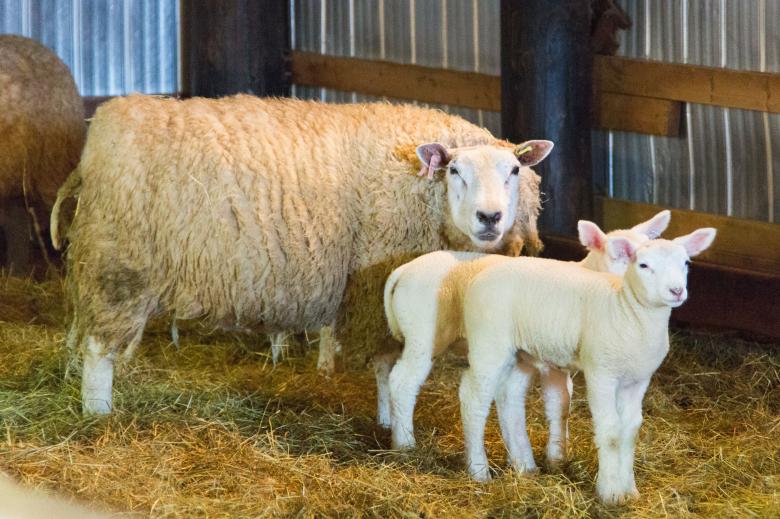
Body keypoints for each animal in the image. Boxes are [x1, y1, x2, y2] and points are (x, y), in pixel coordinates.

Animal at [53, 94, 553, 414]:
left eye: (514, 170)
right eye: (454, 170)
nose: (490, 217)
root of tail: (98, 134)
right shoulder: (375, 288)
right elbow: (387, 369)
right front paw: (390, 424)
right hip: (118, 266)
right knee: (98, 351)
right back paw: (98, 414)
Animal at [378, 210, 671, 458]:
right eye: (620, 255)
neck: (589, 275)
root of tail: (403, 271)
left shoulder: (559, 362)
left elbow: (562, 404)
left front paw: (558, 453)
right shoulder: (550, 358)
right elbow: (557, 403)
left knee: (385, 368)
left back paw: (387, 423)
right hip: (423, 332)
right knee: (403, 381)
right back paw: (405, 443)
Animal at [459, 226, 716, 504]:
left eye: (686, 263)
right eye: (644, 265)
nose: (676, 290)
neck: (628, 312)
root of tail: (479, 275)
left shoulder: (637, 380)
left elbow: (630, 431)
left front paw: (630, 490)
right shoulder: (601, 374)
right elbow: (611, 431)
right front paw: (610, 492)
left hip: (521, 353)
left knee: (509, 397)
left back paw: (524, 465)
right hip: (489, 341)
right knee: (473, 398)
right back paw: (479, 470)